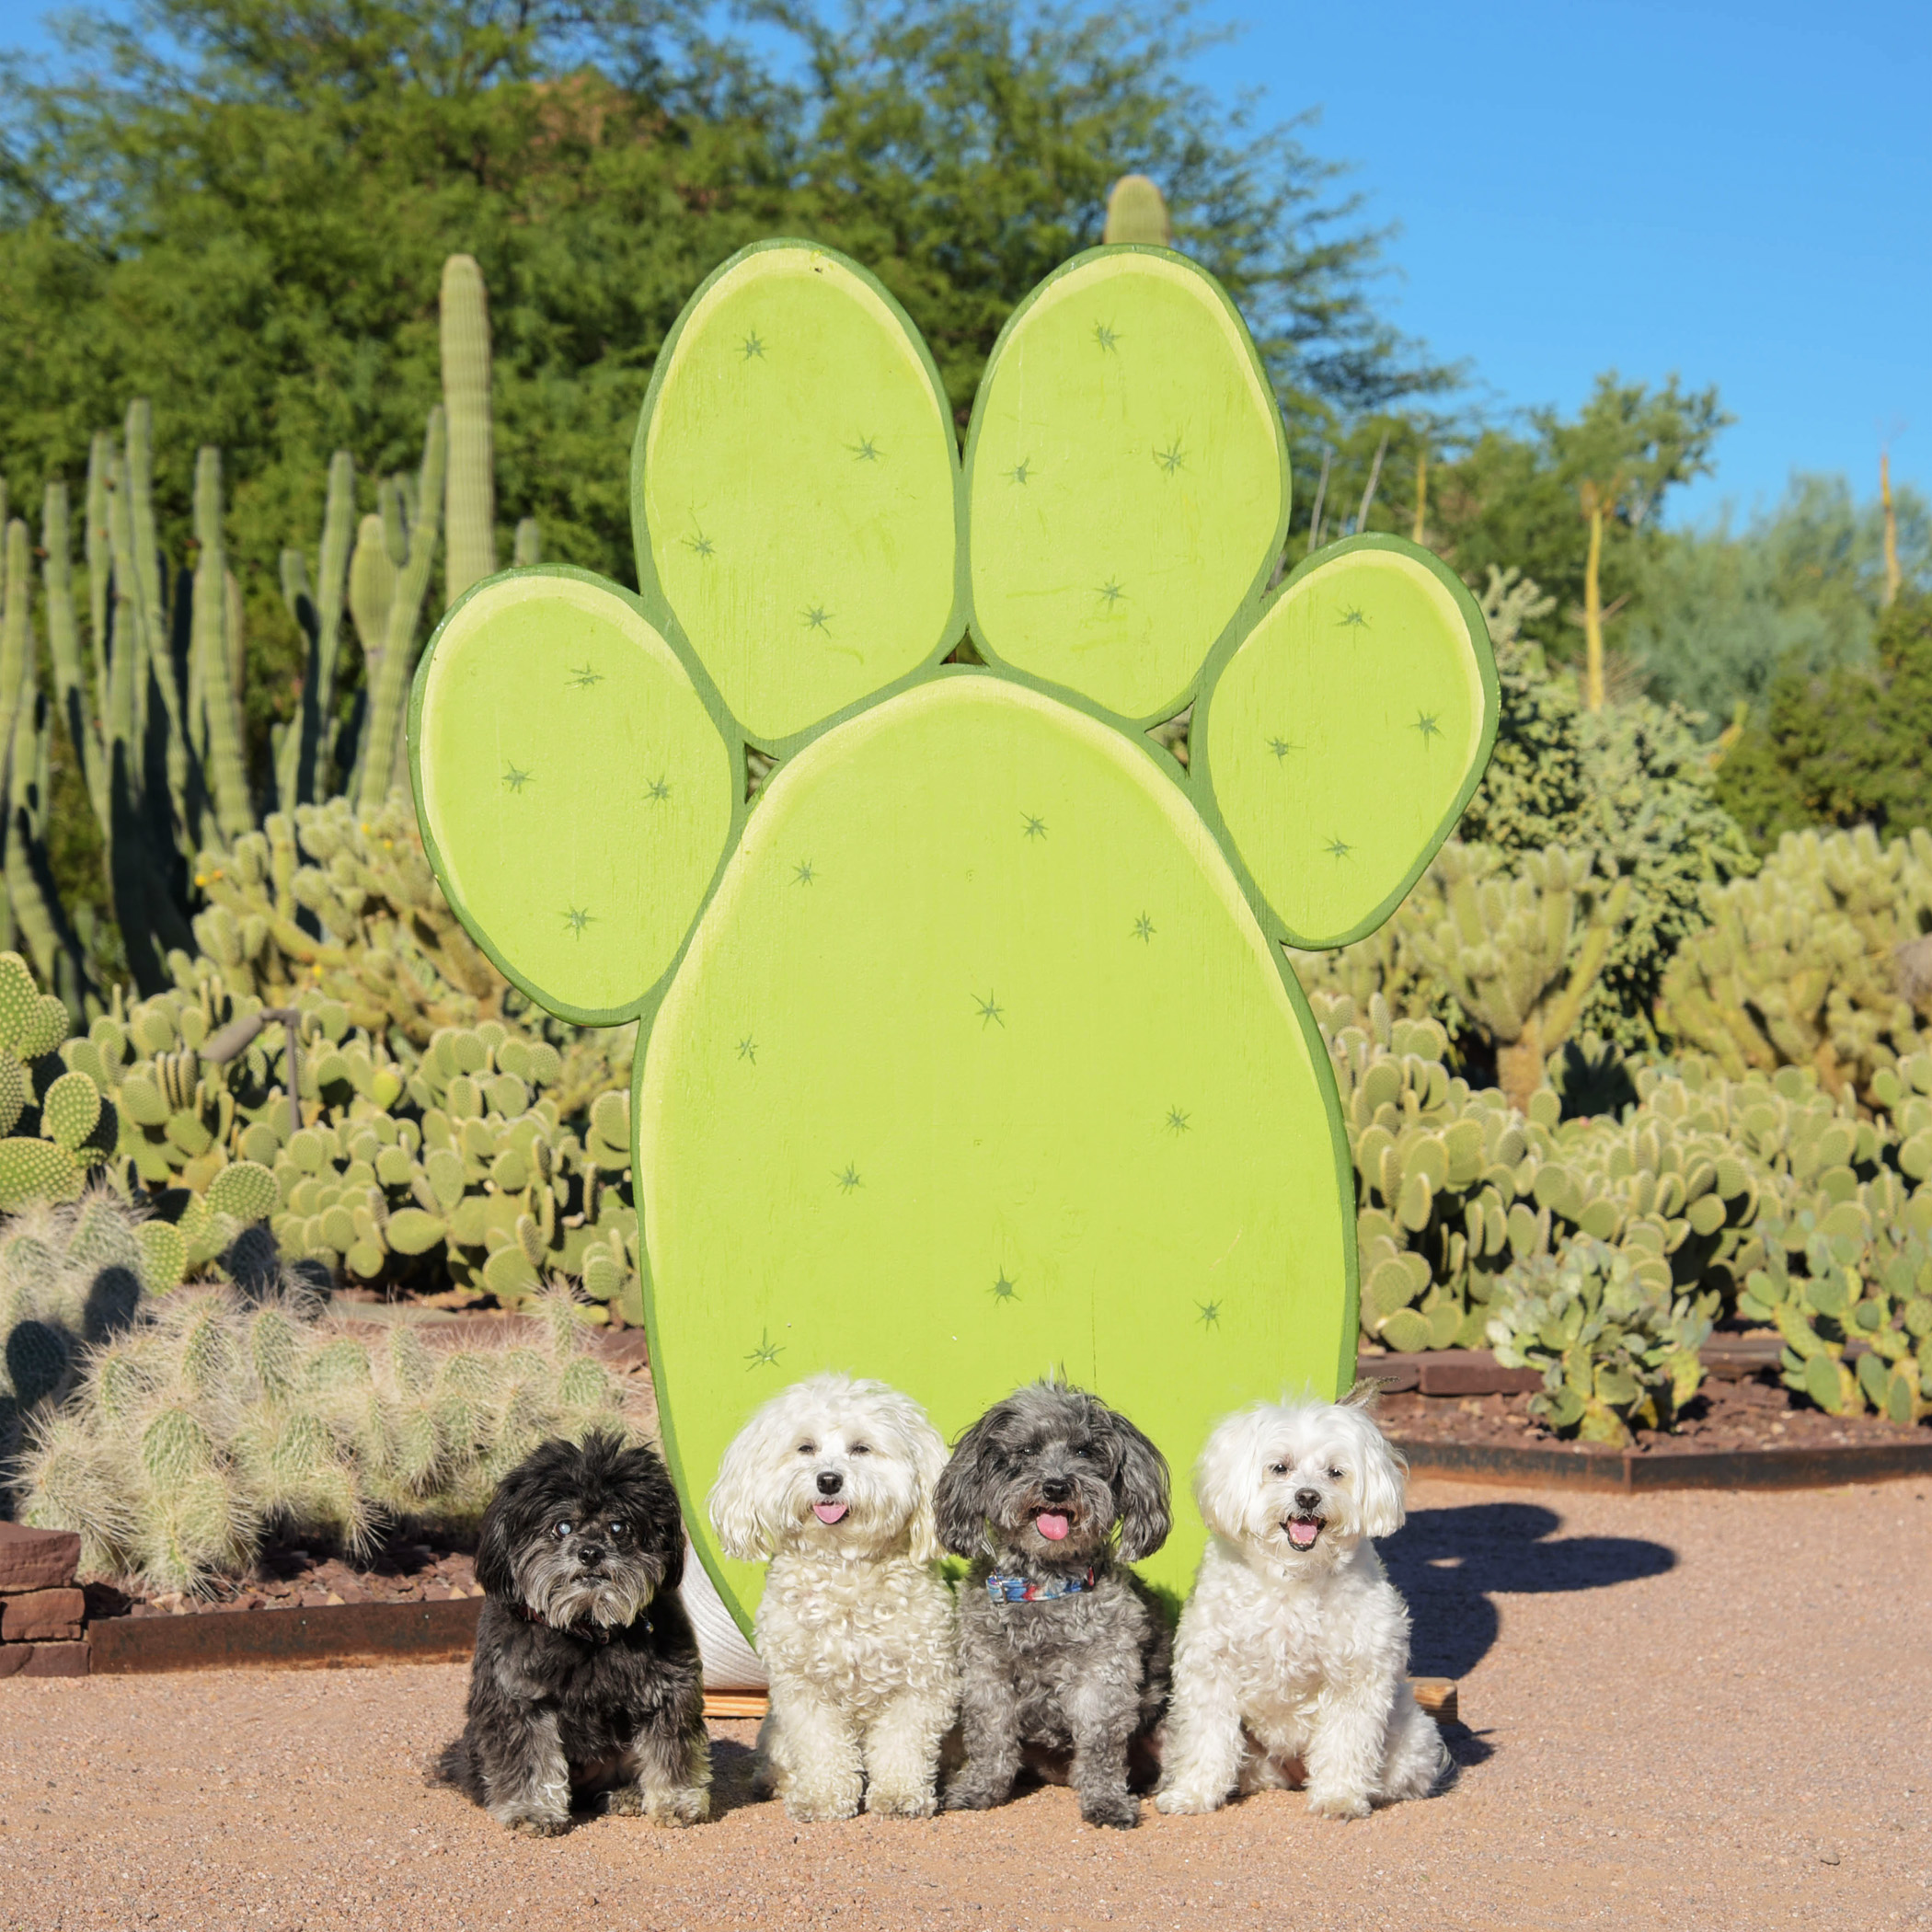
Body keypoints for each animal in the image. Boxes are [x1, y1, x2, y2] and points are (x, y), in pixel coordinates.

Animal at [434, 1429, 714, 1831]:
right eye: (562, 1526)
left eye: (619, 1527)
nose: (591, 1552)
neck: (586, 1628)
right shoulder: (518, 1699)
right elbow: (528, 1760)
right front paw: (532, 1808)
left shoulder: (668, 1691)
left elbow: (672, 1750)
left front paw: (677, 1801)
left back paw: (628, 1794)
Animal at [710, 1383, 958, 1815]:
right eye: (805, 1447)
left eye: (861, 1448)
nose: (828, 1480)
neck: (844, 1567)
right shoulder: (802, 1689)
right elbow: (821, 1745)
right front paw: (822, 1797)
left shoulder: (921, 1682)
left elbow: (903, 1743)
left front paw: (900, 1794)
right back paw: (778, 1780)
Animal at [926, 1390, 1167, 1823]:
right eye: (1026, 1450)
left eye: (1084, 1450)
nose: (1056, 1486)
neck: (1044, 1586)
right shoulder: (986, 1672)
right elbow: (990, 1737)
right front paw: (979, 1789)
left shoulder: (1105, 1674)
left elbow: (1101, 1745)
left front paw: (1106, 1801)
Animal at [1144, 1398, 1453, 1815]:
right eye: (1280, 1467)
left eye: (1335, 1472)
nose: (1308, 1496)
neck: (1293, 1575)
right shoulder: (1210, 1669)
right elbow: (1206, 1738)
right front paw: (1192, 1794)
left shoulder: (1355, 1676)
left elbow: (1345, 1742)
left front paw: (1339, 1797)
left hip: (1410, 1740)